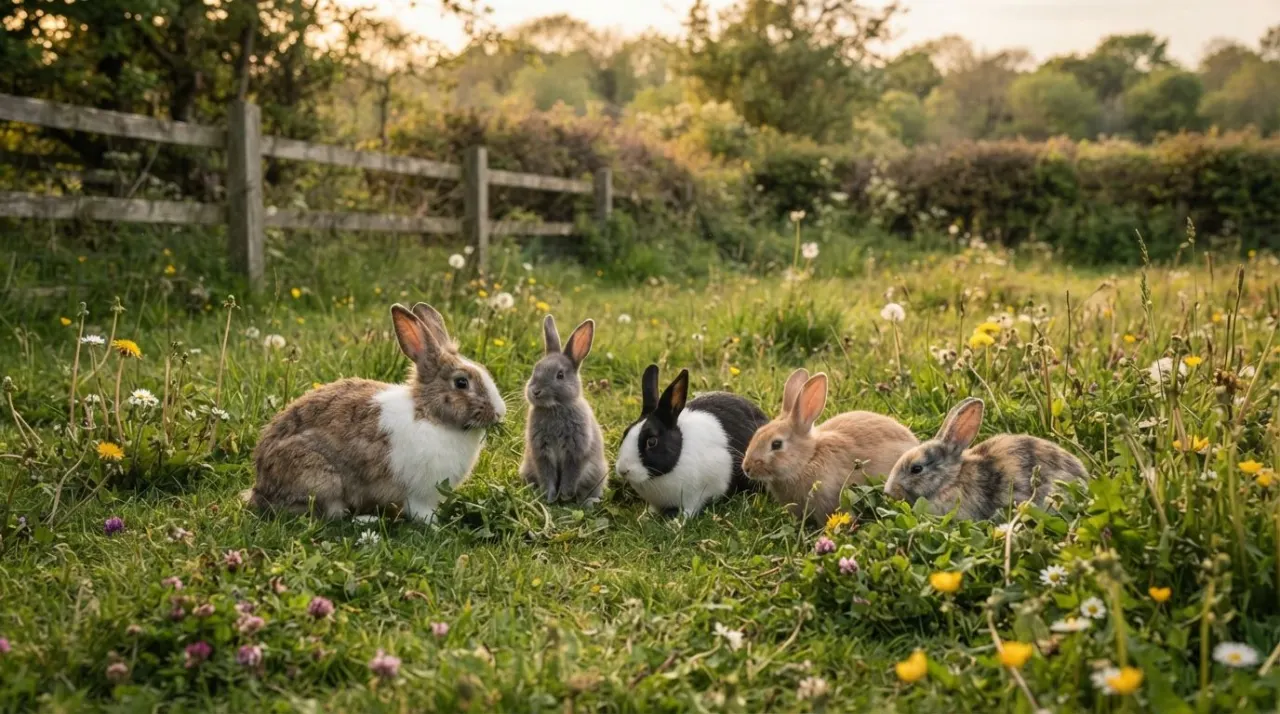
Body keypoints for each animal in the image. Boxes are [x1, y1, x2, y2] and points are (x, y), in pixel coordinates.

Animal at [248, 303, 506, 522]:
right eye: (461, 383)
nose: (499, 413)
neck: (431, 415)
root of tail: (260, 488)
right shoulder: (419, 494)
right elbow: (421, 513)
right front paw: (435, 526)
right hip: (321, 479)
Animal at [519, 315, 608, 504]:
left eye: (560, 375)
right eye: (535, 369)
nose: (535, 391)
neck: (554, 408)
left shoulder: (576, 452)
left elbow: (570, 475)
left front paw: (565, 496)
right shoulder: (541, 452)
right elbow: (547, 476)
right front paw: (549, 497)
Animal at [615, 365, 769, 517]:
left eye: (651, 441)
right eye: (625, 432)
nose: (623, 470)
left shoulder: (694, 496)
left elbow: (690, 509)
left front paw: (676, 521)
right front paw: (645, 517)